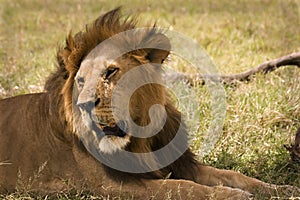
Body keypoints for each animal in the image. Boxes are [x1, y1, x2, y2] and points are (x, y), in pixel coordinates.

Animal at [0, 7, 298, 198]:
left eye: (110, 72)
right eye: (81, 81)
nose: (84, 105)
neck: (140, 137)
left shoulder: (182, 163)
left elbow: (235, 175)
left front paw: (281, 189)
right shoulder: (112, 185)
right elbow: (181, 188)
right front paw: (233, 195)